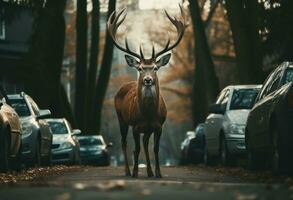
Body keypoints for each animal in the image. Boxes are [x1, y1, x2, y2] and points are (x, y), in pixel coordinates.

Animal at [106, 5, 185, 178]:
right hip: (121, 118)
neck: (148, 114)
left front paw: (158, 173)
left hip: (146, 129)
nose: (148, 80)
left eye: (155, 68)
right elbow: (136, 149)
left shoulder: (159, 126)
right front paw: (136, 172)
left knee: (145, 143)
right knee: (124, 142)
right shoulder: (135, 126)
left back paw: (149, 171)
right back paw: (128, 171)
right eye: (140, 68)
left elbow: (154, 149)